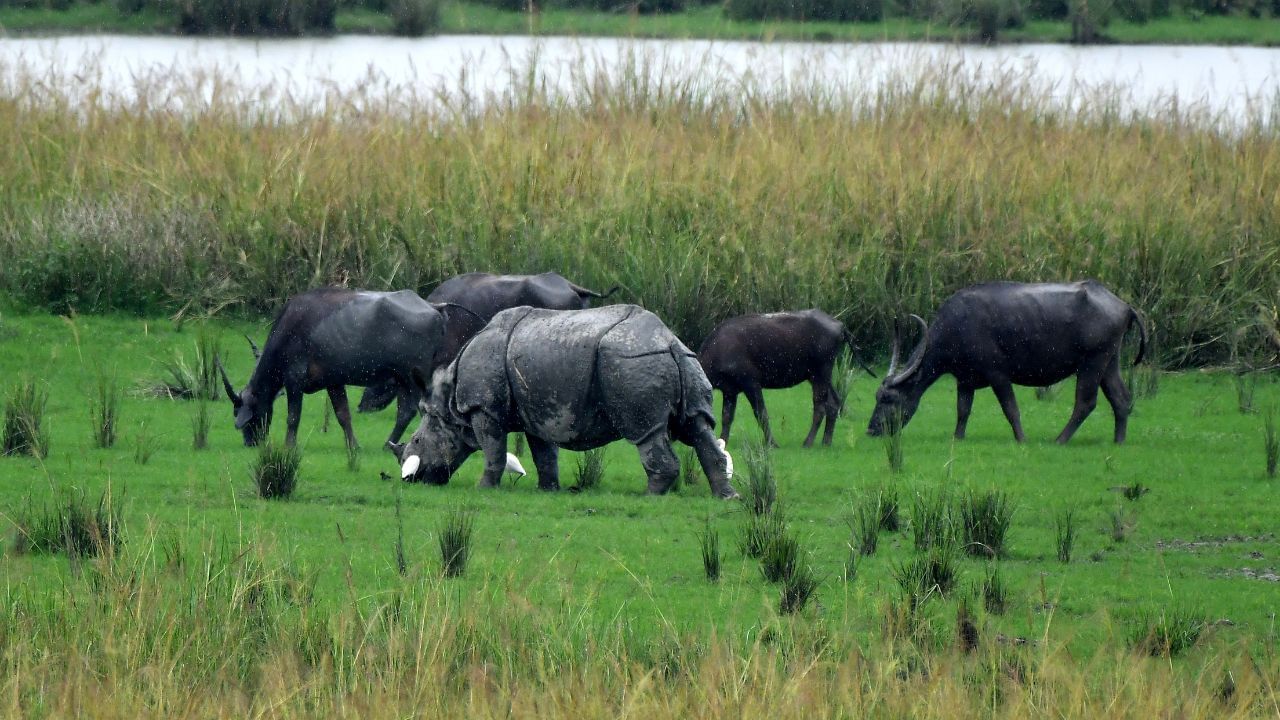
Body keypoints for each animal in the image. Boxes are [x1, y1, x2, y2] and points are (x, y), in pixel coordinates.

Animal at [215, 286, 445, 445]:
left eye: (247, 413)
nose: (250, 442)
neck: (288, 331)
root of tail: (434, 310)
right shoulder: (334, 382)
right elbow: (344, 416)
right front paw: (354, 446)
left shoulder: (294, 381)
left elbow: (293, 417)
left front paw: (289, 445)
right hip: (402, 379)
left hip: (411, 378)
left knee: (411, 410)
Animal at [384, 299, 737, 497]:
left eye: (416, 442)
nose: (413, 480)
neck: (449, 404)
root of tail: (669, 341)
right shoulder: (536, 412)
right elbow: (544, 454)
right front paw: (548, 490)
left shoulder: (484, 409)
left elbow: (493, 451)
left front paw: (483, 489)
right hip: (683, 362)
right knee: (697, 426)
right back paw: (727, 497)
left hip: (631, 362)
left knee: (646, 433)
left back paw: (651, 496)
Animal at [696, 310, 875, 445]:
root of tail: (840, 325)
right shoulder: (730, 391)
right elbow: (727, 417)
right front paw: (722, 440)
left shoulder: (751, 383)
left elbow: (761, 414)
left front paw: (772, 443)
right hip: (818, 376)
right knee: (834, 403)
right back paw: (826, 441)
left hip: (821, 372)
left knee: (820, 407)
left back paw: (808, 442)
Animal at [860, 281, 1152, 443]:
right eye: (876, 397)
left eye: (889, 399)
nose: (872, 429)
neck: (957, 326)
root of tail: (1124, 306)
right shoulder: (964, 380)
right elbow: (963, 409)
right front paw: (958, 437)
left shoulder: (998, 374)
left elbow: (1011, 408)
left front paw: (1021, 439)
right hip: (1109, 361)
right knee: (1121, 398)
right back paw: (1119, 441)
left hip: (1092, 363)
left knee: (1086, 402)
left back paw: (1060, 439)